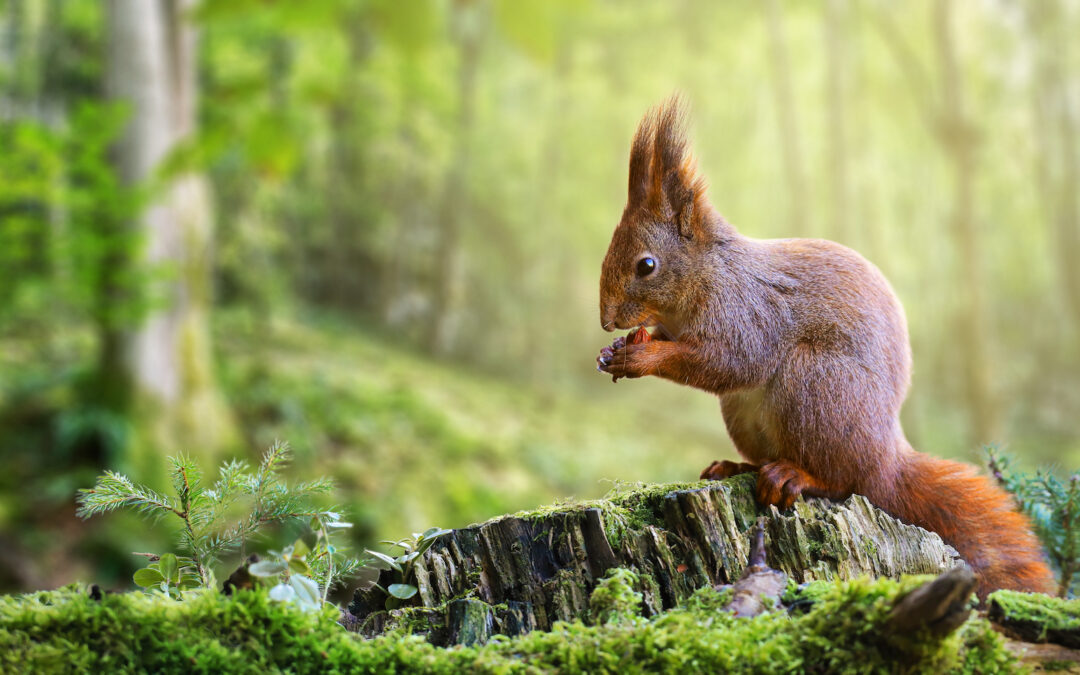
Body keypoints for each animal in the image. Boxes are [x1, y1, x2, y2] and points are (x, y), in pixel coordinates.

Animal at [596, 97, 1053, 598]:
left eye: (647, 265)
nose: (605, 320)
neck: (707, 274)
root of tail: (886, 460)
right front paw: (612, 352)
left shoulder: (748, 313)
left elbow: (729, 363)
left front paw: (642, 358)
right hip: (748, 412)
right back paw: (735, 467)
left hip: (816, 386)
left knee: (842, 481)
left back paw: (795, 475)